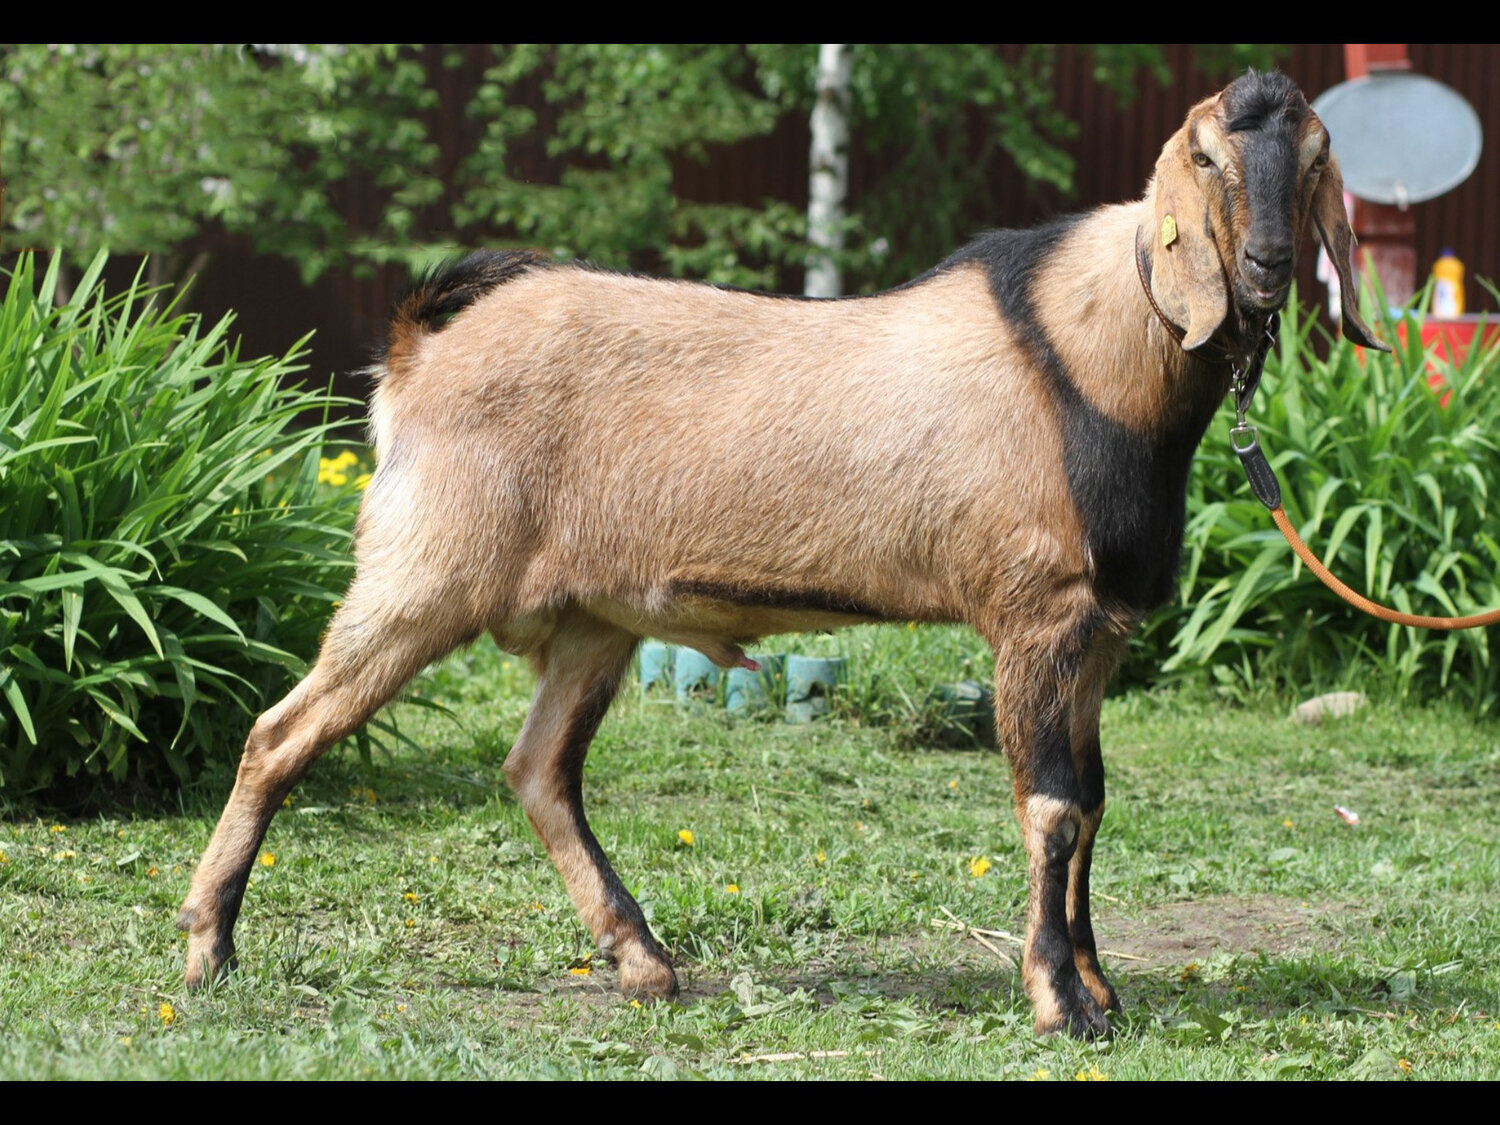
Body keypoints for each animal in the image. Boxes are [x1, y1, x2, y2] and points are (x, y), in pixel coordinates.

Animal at [177, 71, 1384, 1039]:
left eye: (1317, 154)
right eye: (1208, 154)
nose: (1269, 266)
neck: (1088, 359)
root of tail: (416, 353)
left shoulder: (1099, 631)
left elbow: (1090, 801)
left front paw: (1101, 989)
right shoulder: (1037, 612)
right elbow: (1051, 808)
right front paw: (1062, 1007)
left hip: (594, 617)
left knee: (537, 770)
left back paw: (644, 962)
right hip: (425, 572)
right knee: (280, 733)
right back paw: (207, 947)